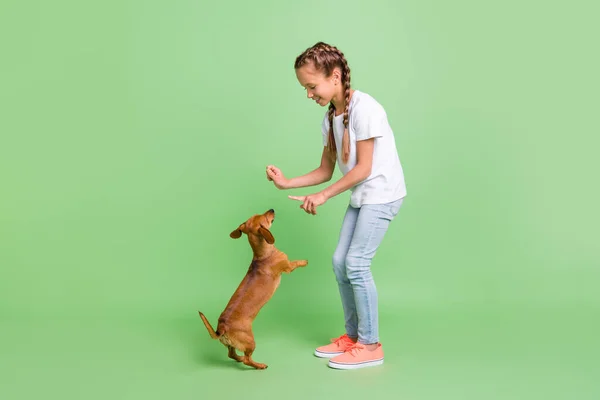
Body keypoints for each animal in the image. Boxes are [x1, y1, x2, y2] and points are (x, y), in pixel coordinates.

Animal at [198, 209, 308, 368]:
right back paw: (259, 365)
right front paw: (304, 261)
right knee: (247, 359)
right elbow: (296, 263)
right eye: (265, 217)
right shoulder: (288, 266)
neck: (263, 255)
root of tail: (222, 328)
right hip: (250, 341)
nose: (272, 209)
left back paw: (238, 358)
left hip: (231, 344)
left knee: (232, 354)